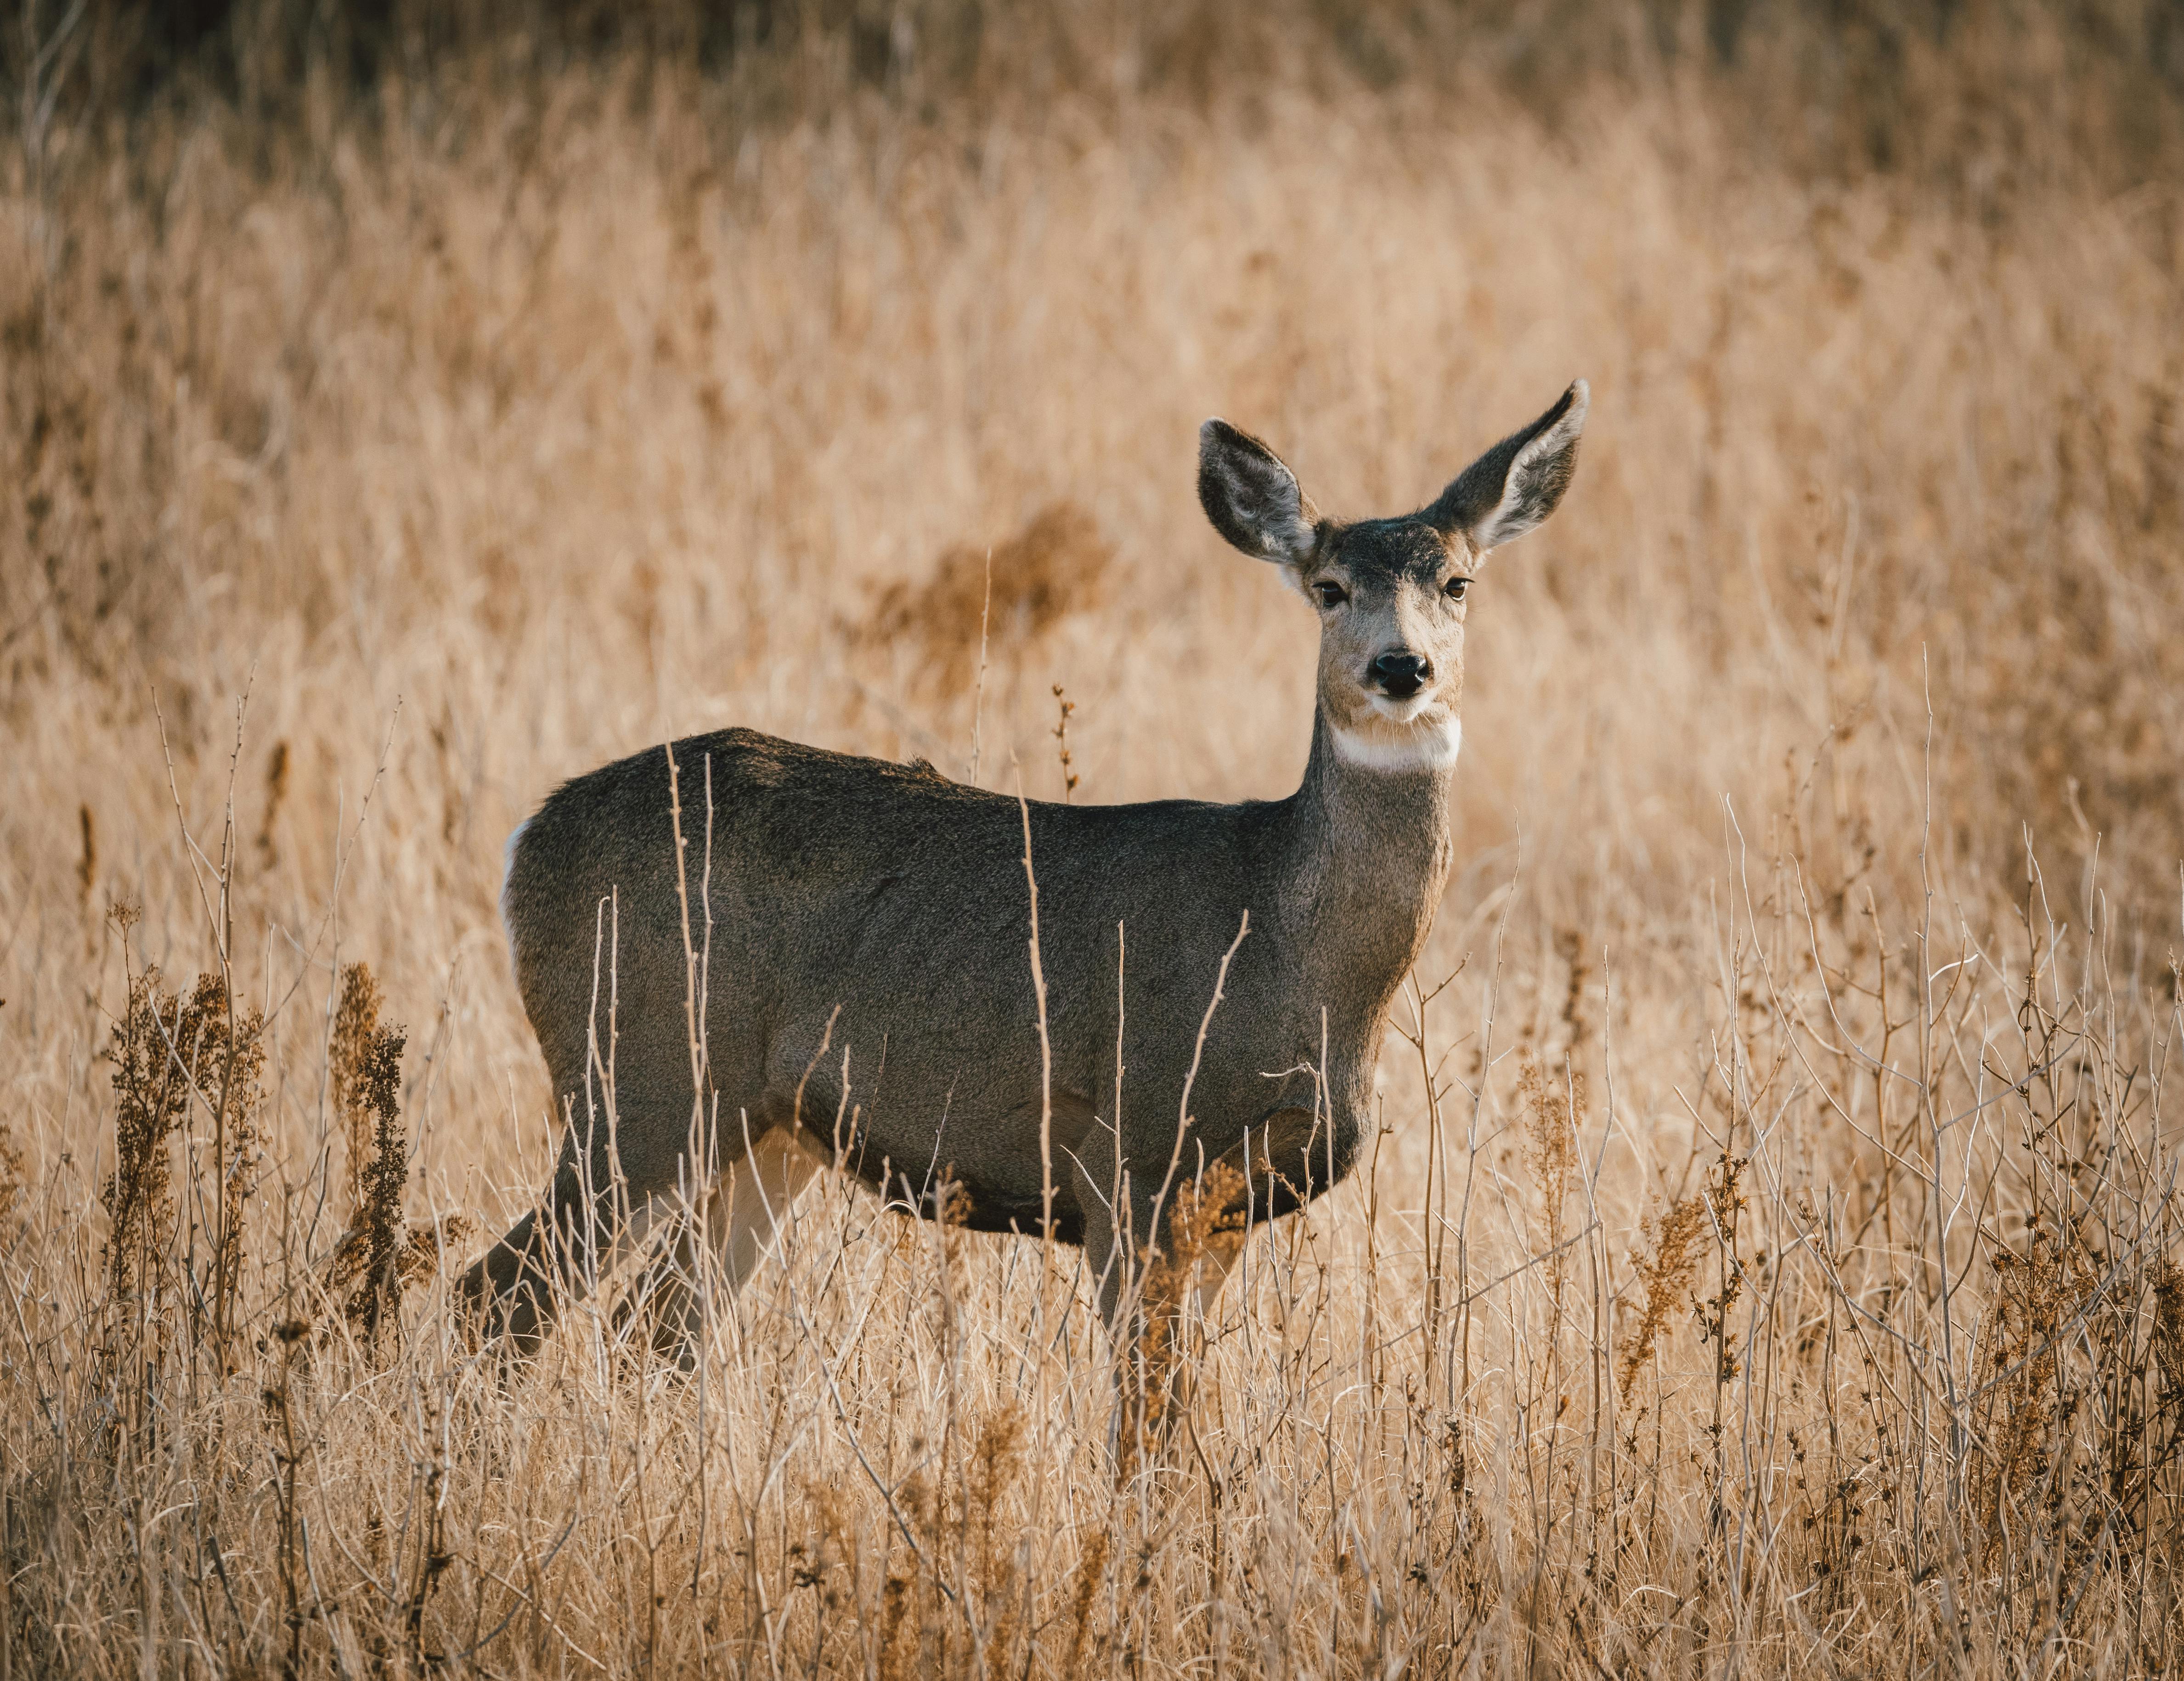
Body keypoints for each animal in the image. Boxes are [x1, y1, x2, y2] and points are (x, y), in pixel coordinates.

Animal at [461, 384, 1590, 1380]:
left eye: (1458, 583)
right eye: (1329, 587)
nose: (1400, 669)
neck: (1287, 942)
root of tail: (527, 838)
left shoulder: (1230, 1205)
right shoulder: (1130, 1159)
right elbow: (1147, 1409)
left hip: (762, 1131)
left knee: (656, 1331)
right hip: (635, 1075)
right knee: (496, 1298)